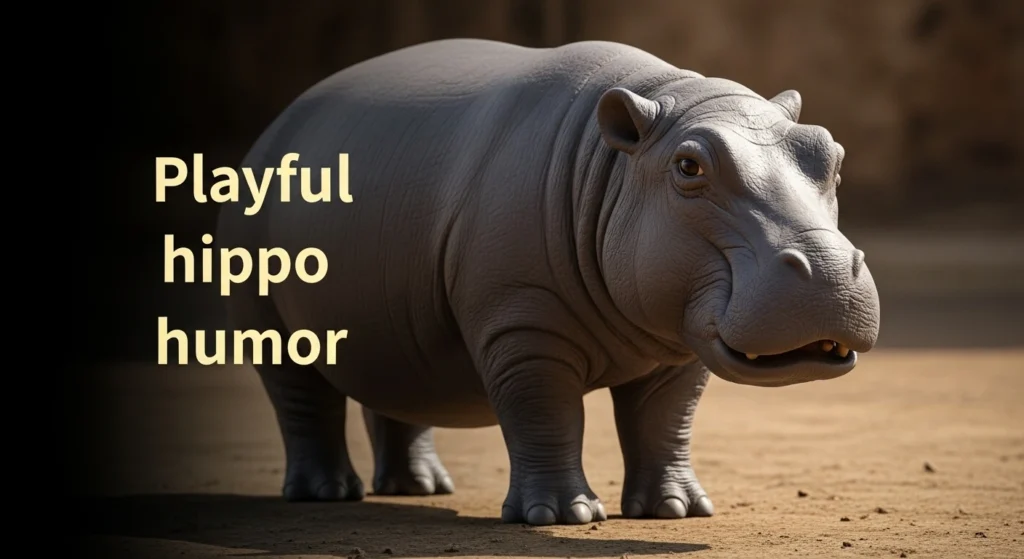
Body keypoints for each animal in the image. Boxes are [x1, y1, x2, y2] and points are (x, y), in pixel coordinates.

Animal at [216, 38, 881, 526]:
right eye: (689, 167)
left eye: (833, 155)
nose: (827, 270)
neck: (618, 162)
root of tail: (274, 127)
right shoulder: (524, 326)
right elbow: (545, 411)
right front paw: (565, 518)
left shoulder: (679, 337)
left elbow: (665, 420)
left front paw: (678, 513)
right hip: (255, 269)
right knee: (299, 388)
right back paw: (327, 495)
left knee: (397, 373)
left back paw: (421, 491)